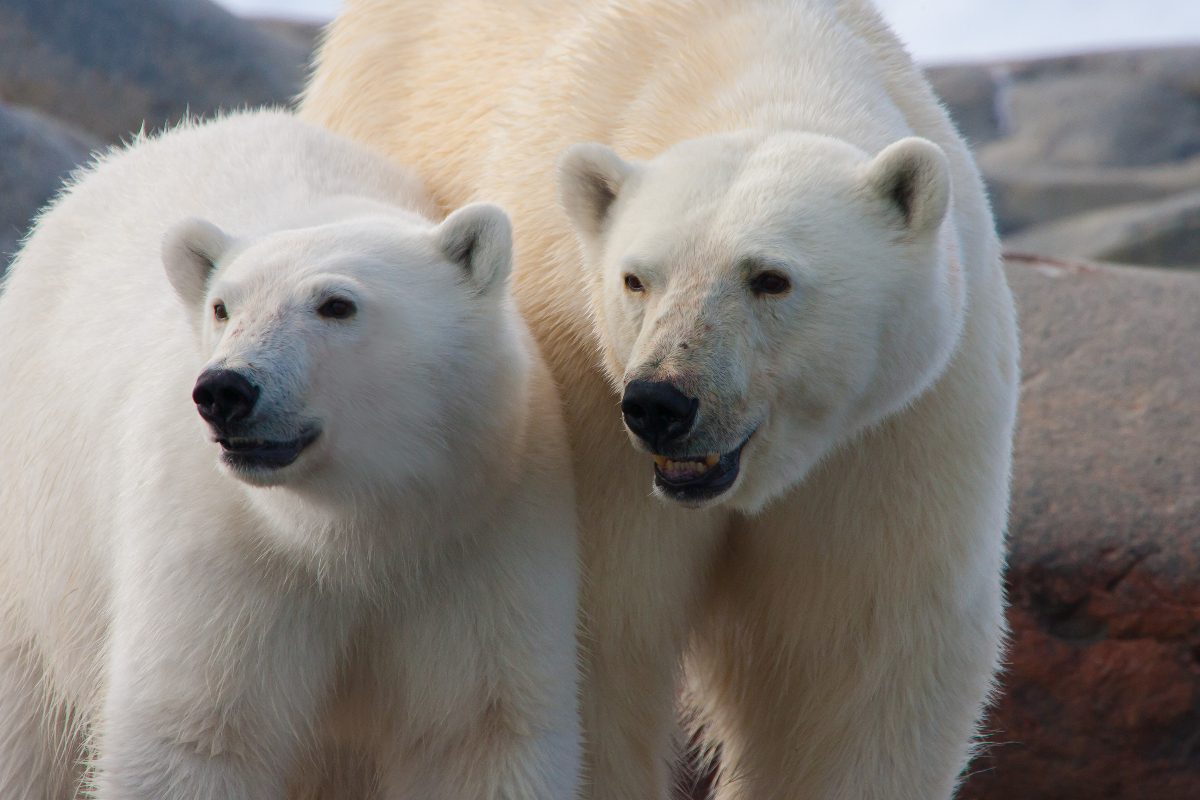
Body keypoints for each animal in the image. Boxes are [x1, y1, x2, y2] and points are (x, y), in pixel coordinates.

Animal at [0, 109, 581, 800]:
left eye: (336, 304)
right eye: (222, 306)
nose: (225, 390)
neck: (352, 533)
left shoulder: (481, 544)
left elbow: (479, 734)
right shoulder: (224, 554)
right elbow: (192, 738)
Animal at [301, 1, 1020, 798]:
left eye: (770, 278)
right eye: (636, 278)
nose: (662, 403)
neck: (763, 61)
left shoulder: (900, 430)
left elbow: (866, 655)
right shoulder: (586, 400)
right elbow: (604, 647)